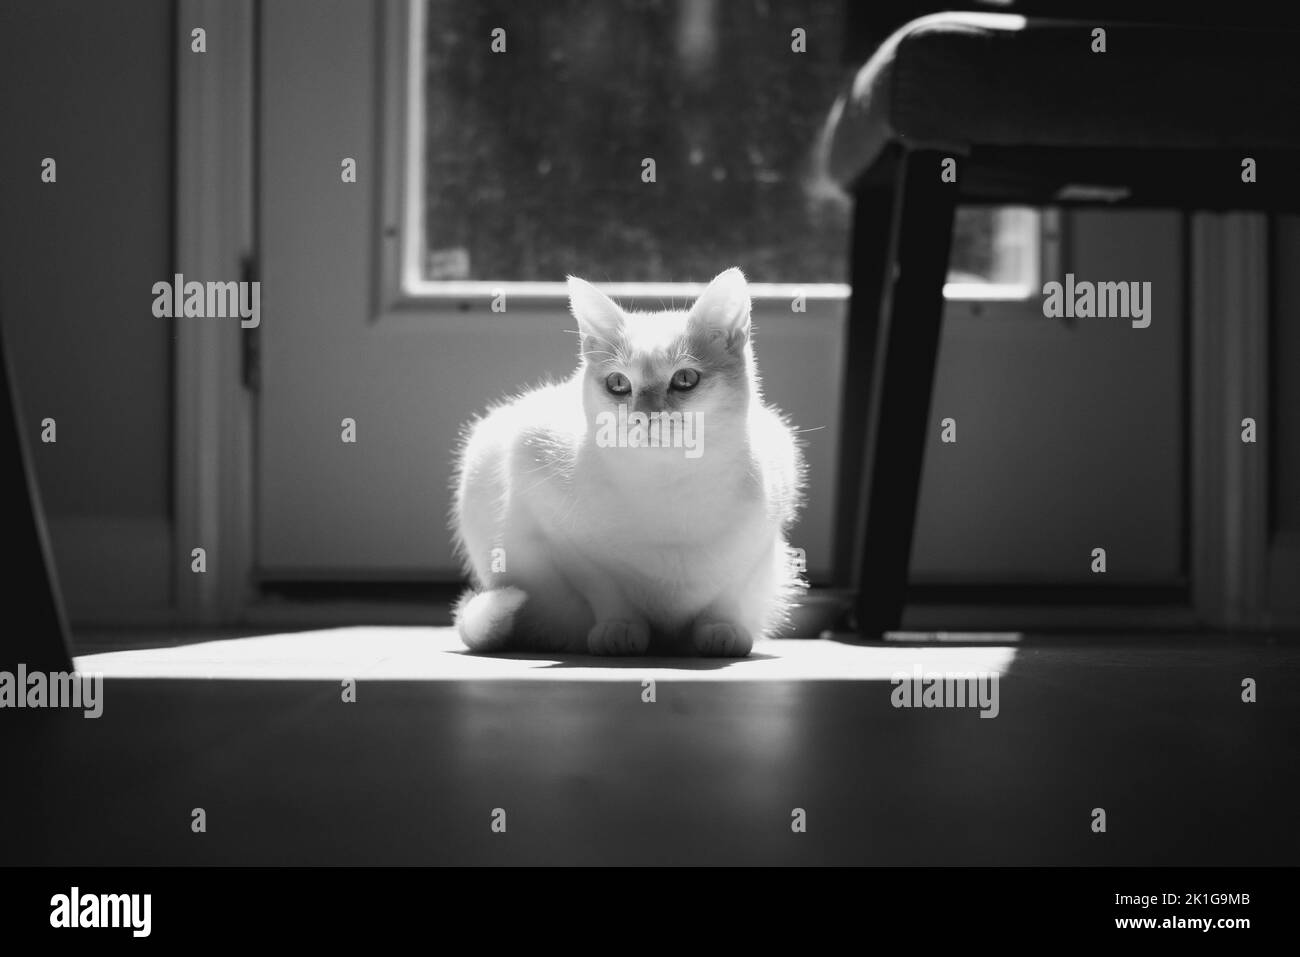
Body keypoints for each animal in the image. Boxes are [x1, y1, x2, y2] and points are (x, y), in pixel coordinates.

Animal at [454, 269, 800, 657]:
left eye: (685, 378)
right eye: (618, 383)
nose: (644, 414)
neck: (667, 485)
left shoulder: (760, 537)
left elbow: (729, 590)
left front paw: (721, 626)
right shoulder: (558, 525)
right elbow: (604, 586)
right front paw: (619, 626)